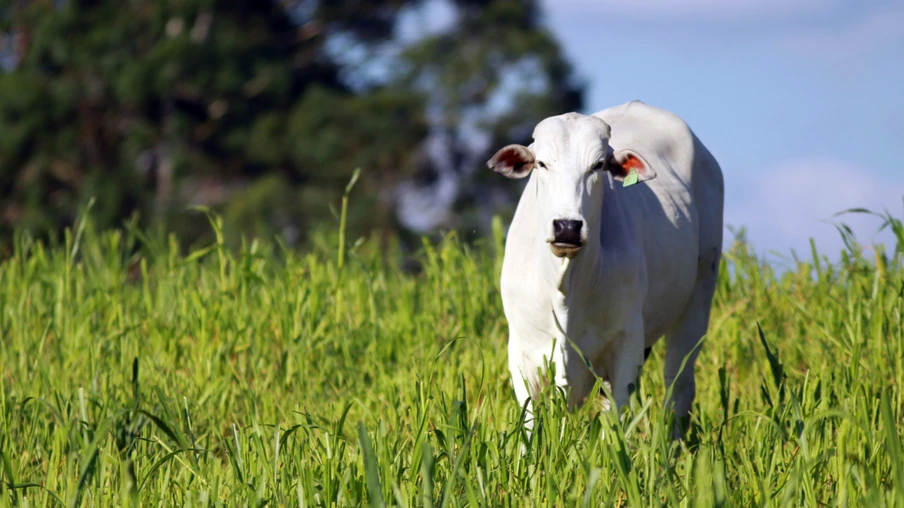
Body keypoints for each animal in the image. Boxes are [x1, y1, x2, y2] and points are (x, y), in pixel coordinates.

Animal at [488, 100, 720, 436]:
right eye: (541, 164)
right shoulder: (522, 351)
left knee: (679, 387)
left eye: (597, 165)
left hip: (700, 293)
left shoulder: (627, 343)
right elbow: (530, 424)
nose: (567, 227)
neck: (566, 285)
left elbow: (620, 420)